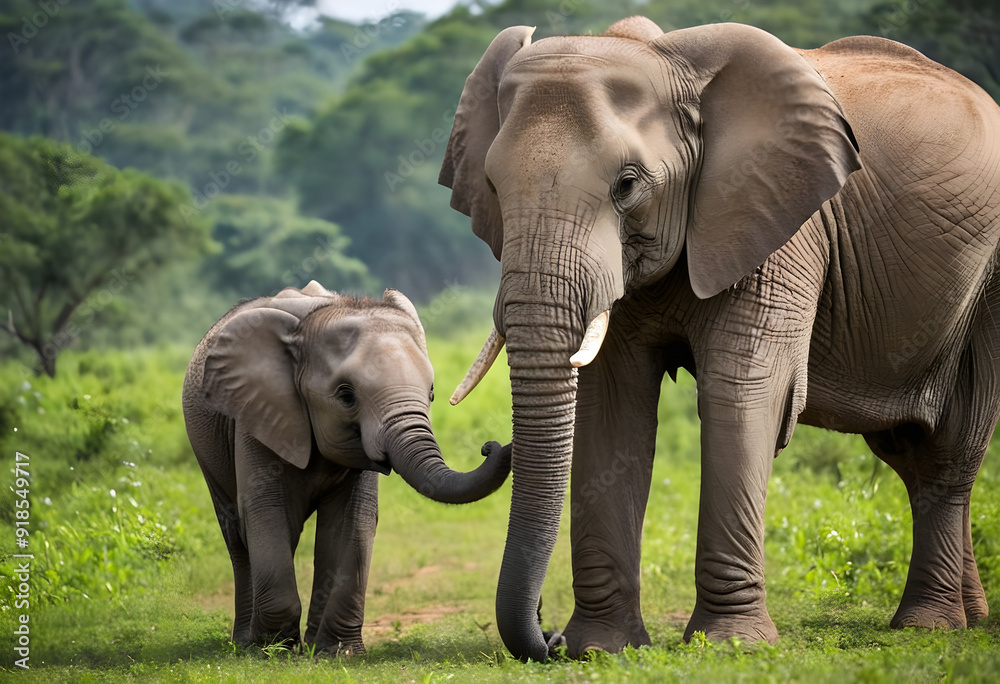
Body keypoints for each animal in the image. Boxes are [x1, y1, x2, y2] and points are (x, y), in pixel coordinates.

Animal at [181, 281, 511, 655]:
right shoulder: (258, 412)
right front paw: (273, 650)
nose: (493, 446)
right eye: (345, 395)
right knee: (236, 533)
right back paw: (244, 644)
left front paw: (337, 653)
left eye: (431, 393)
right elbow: (265, 509)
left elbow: (352, 520)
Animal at [438, 16, 1000, 660]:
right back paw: (969, 616)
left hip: (989, 285)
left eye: (626, 185)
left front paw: (732, 646)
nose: (547, 635)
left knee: (951, 449)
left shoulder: (780, 221)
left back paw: (928, 626)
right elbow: (613, 405)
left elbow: (741, 392)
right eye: (491, 186)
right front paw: (601, 650)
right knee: (908, 454)